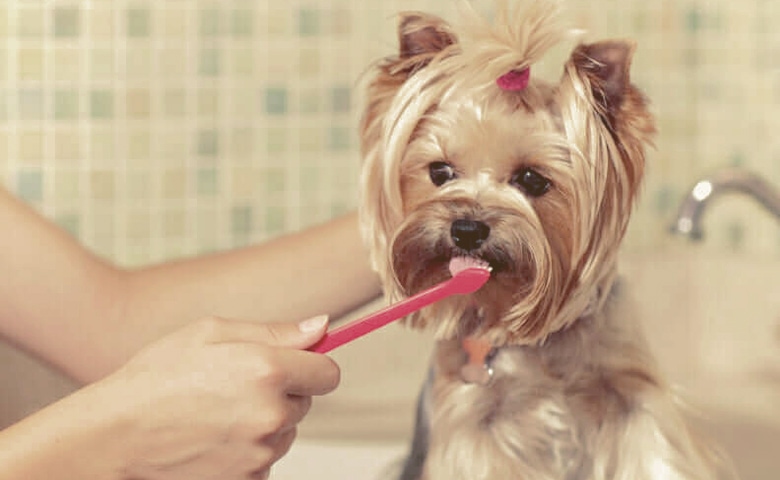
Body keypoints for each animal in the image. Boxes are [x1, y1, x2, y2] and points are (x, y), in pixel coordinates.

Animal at [356, 0, 728, 480]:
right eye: (440, 172)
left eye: (532, 180)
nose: (467, 228)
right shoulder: (474, 421)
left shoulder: (630, 393)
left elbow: (654, 449)